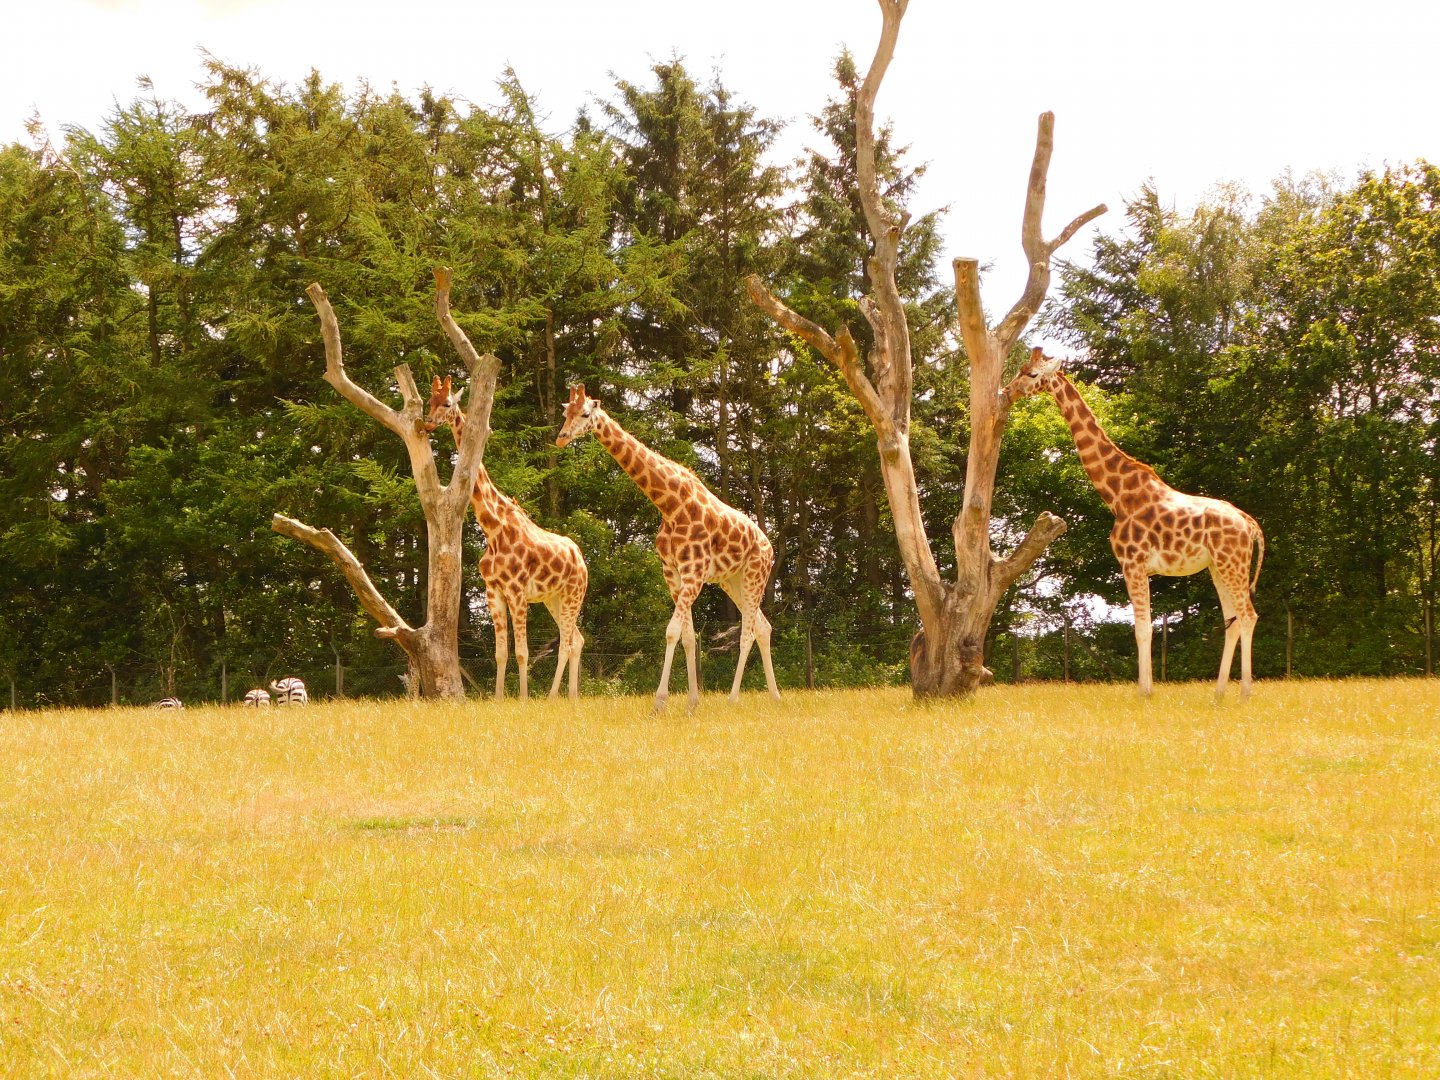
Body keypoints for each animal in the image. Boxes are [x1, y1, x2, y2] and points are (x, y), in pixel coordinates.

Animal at [426, 376, 587, 700]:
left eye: (447, 403)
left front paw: (523, 699)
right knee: (575, 639)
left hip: (573, 594)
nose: (428, 423)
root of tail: (582, 559)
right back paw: (571, 696)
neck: (493, 528)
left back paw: (553, 697)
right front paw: (499, 699)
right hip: (553, 599)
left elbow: (522, 652)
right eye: (429, 401)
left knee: (567, 642)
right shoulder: (494, 593)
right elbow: (500, 653)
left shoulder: (517, 592)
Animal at [555, 384, 781, 711]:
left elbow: (672, 632)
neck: (670, 504)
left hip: (754, 576)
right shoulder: (672, 572)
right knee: (763, 627)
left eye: (584, 413)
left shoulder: (694, 572)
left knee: (748, 632)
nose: (561, 437)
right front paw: (691, 703)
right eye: (565, 412)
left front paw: (659, 703)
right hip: (732, 581)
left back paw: (733, 698)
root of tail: (770, 548)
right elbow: (687, 636)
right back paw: (775, 696)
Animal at [1002, 348, 1265, 699]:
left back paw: (1246, 693)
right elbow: (1144, 628)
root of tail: (1250, 525)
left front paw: (1144, 693)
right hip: (1218, 566)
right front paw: (1147, 689)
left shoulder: (1133, 563)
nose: (1007, 391)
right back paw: (1219, 694)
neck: (1117, 495)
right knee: (1232, 618)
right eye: (1020, 369)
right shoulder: (1137, 566)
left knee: (1248, 615)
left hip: (1232, 563)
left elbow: (1142, 629)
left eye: (1031, 374)